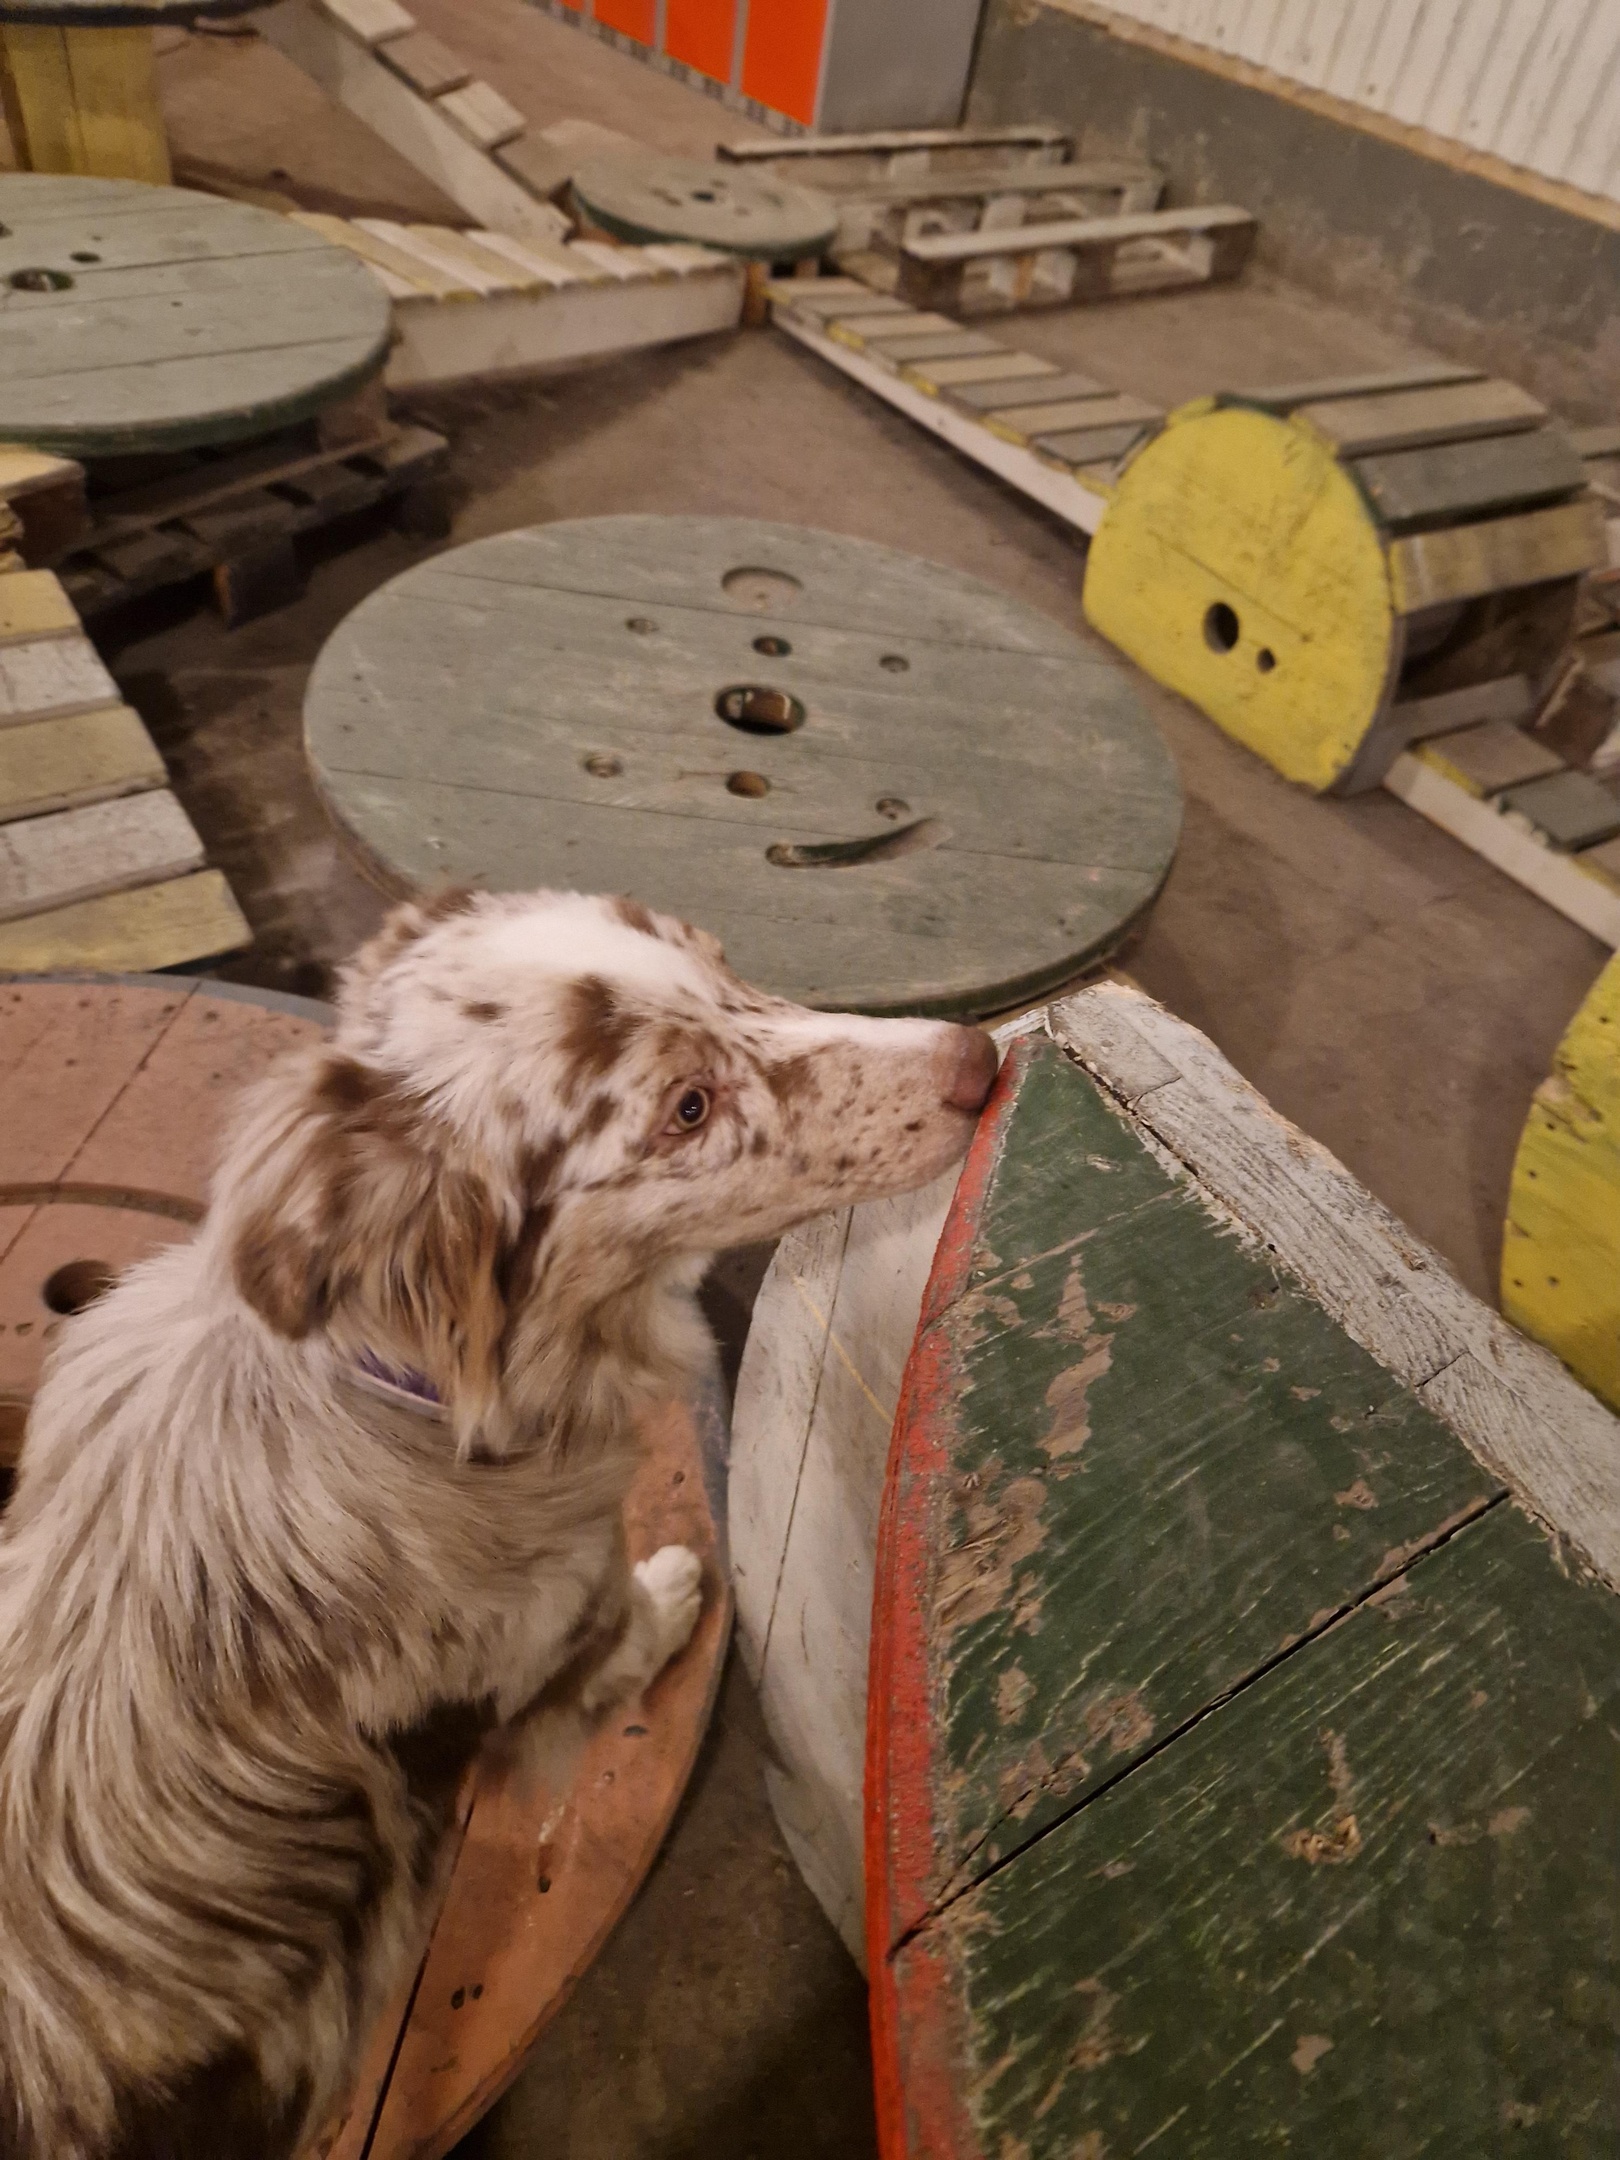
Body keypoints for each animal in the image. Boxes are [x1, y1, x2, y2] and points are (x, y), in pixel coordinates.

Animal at [0, 887, 997, 2160]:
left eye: (722, 968)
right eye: (687, 1107)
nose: (977, 1059)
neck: (398, 1391)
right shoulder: (546, 1643)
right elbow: (623, 1628)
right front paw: (678, 1589)